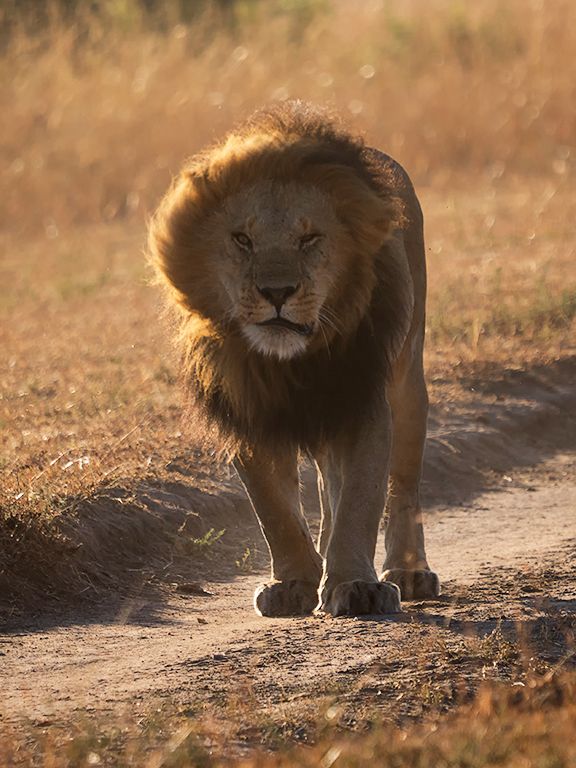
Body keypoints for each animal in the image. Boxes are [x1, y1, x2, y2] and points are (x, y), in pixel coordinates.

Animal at [148, 101, 440, 617]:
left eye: (309, 240)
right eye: (242, 240)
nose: (276, 292)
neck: (289, 364)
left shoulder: (360, 396)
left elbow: (362, 498)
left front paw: (356, 585)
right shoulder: (248, 408)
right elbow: (275, 510)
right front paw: (295, 583)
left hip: (407, 378)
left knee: (402, 483)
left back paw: (407, 573)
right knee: (327, 489)